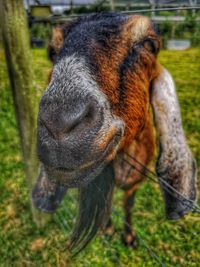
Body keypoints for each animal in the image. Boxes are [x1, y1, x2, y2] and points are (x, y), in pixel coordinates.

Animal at [31, 12, 197, 254]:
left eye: (149, 44)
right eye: (52, 52)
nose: (59, 123)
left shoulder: (135, 182)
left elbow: (128, 204)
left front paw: (128, 237)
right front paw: (108, 230)